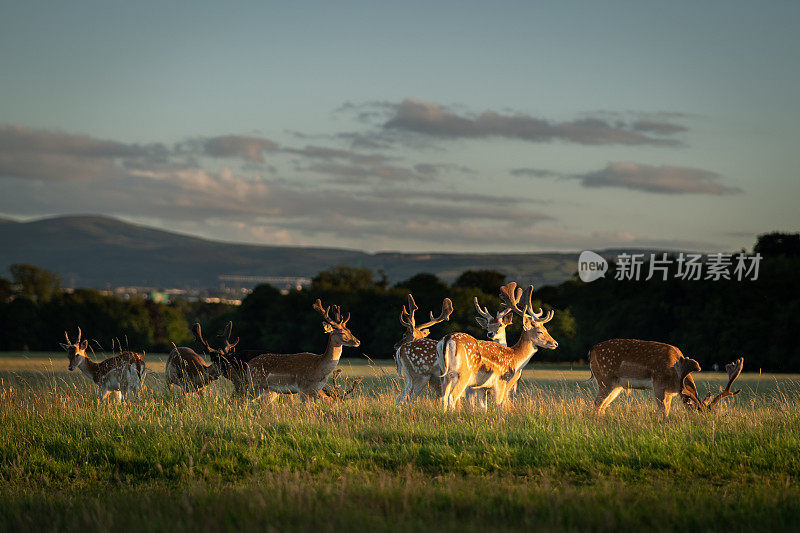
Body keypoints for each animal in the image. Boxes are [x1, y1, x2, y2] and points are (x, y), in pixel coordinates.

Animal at [438, 282, 556, 412]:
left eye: (546, 329)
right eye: (540, 331)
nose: (555, 343)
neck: (514, 357)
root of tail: (447, 339)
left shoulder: (482, 387)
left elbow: (483, 408)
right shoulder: (501, 381)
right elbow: (499, 405)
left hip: (444, 374)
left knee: (443, 397)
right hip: (463, 373)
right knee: (452, 396)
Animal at [588, 338, 744, 418]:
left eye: (713, 414)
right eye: (699, 415)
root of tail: (591, 350)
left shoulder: (670, 392)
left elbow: (667, 409)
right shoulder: (658, 383)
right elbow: (663, 411)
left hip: (617, 385)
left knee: (602, 406)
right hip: (605, 379)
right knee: (596, 403)